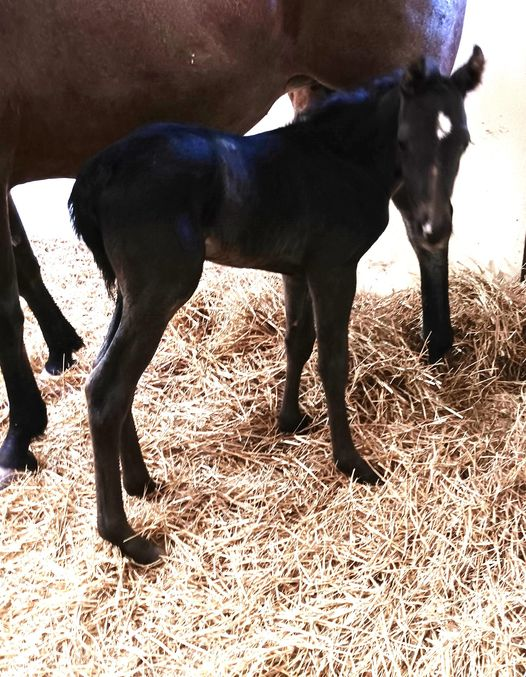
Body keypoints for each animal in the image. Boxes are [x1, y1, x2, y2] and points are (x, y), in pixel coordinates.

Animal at [68, 47, 484, 564]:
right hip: (160, 288)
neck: (342, 157)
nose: (433, 228)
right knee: (108, 388)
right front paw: (352, 462)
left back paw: (142, 483)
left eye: (462, 141)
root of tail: (97, 174)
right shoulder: (333, 267)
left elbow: (298, 341)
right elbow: (332, 360)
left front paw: (291, 421)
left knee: (108, 377)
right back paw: (126, 537)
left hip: (132, 292)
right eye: (404, 141)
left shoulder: (297, 269)